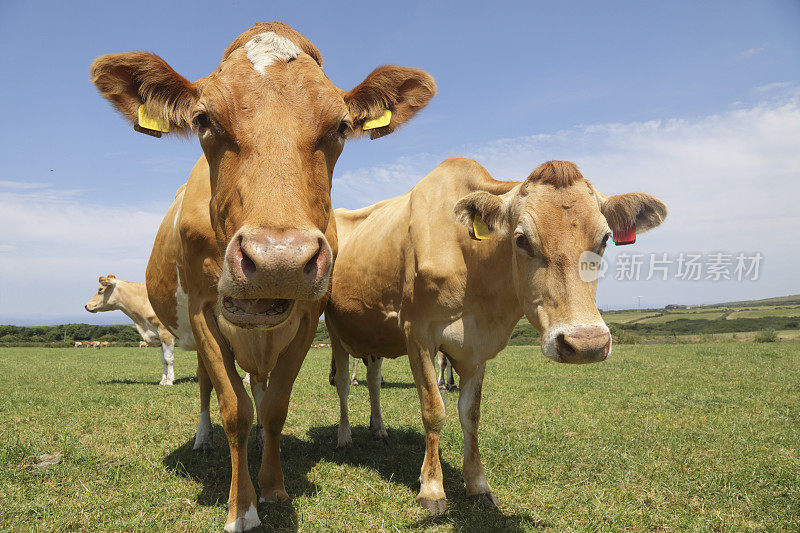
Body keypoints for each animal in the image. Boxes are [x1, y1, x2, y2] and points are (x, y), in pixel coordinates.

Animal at [90, 21, 434, 532]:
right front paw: (242, 507)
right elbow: (235, 408)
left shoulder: (308, 316)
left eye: (341, 126)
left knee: (258, 385)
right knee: (210, 388)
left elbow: (273, 408)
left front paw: (272, 487)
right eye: (204, 119)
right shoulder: (203, 312)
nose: (279, 260)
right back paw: (203, 438)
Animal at [324, 157, 668, 512]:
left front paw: (478, 484)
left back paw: (378, 428)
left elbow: (470, 414)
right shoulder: (418, 335)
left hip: (373, 335)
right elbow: (433, 411)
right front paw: (432, 489)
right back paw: (344, 437)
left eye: (604, 239)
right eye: (522, 239)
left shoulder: (478, 348)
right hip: (335, 329)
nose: (586, 344)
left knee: (374, 381)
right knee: (343, 386)